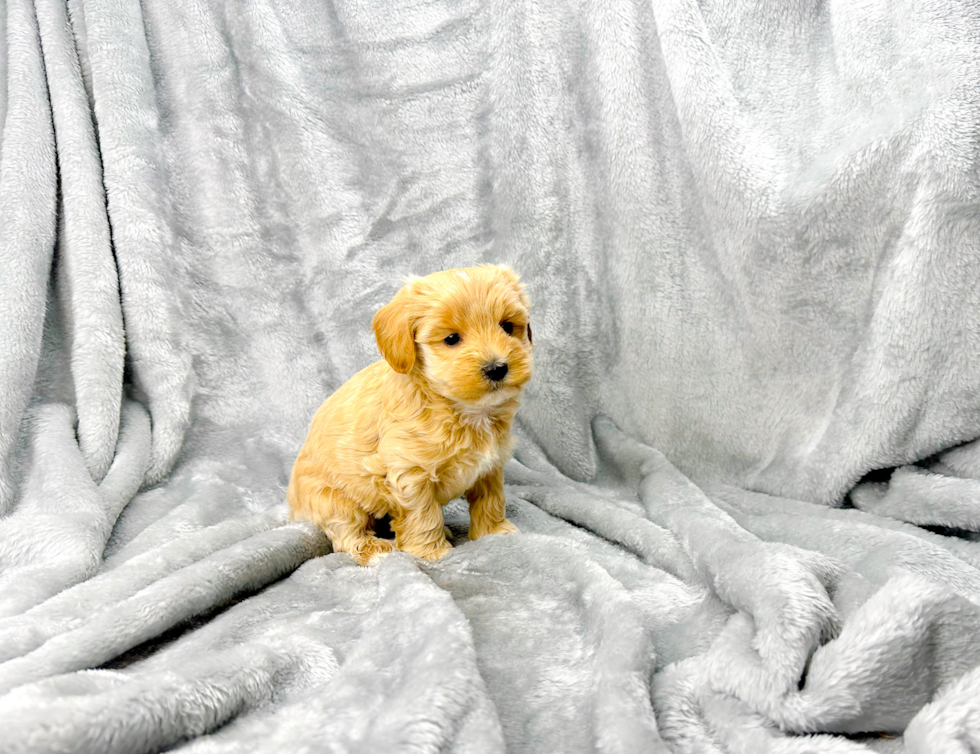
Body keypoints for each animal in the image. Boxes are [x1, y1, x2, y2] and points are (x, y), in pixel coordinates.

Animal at [290, 264, 536, 564]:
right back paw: (374, 549)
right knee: (346, 534)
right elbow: (422, 514)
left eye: (507, 326)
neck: (464, 410)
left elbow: (490, 499)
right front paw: (432, 552)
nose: (496, 368)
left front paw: (494, 532)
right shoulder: (408, 473)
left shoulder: (490, 466)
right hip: (333, 501)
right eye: (451, 339)